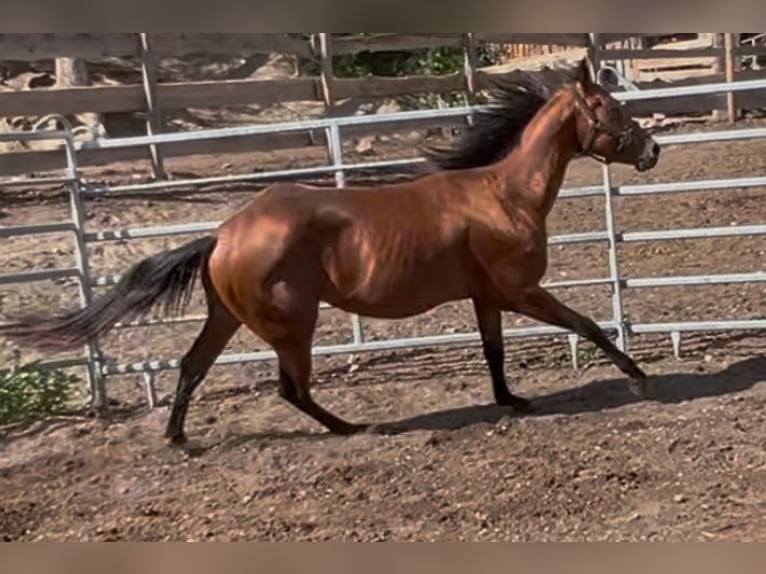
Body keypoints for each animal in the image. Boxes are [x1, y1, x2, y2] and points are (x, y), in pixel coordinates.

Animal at [0, 58, 661, 445]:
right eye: (610, 108)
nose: (652, 150)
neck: (503, 195)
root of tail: (224, 234)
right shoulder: (520, 290)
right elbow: (587, 324)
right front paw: (638, 378)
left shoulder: (485, 296)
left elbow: (494, 353)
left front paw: (512, 401)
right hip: (293, 323)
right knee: (290, 389)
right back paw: (351, 427)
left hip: (227, 317)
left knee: (192, 366)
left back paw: (178, 438)